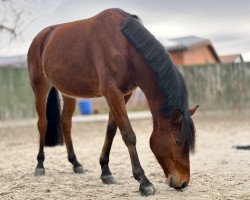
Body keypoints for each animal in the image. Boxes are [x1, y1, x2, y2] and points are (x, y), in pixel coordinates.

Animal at [27, 8, 198, 196]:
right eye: (178, 142)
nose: (183, 183)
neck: (125, 47)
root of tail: (42, 36)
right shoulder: (112, 93)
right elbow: (128, 134)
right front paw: (144, 182)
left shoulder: (124, 95)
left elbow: (111, 130)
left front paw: (105, 171)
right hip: (40, 88)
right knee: (42, 123)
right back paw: (39, 165)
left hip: (68, 93)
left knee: (66, 122)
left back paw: (76, 163)